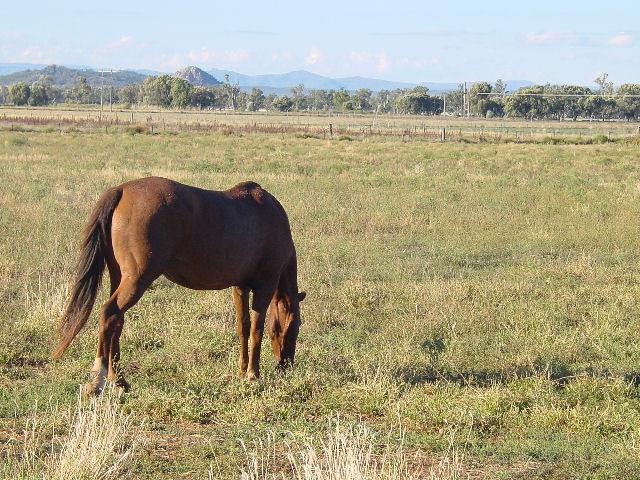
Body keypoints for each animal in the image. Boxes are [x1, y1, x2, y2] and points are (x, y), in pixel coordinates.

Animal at [51, 176, 306, 394]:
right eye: (296, 326)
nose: (285, 365)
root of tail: (121, 190)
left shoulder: (240, 287)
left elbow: (243, 328)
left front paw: (243, 371)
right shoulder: (264, 285)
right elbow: (257, 329)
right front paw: (253, 374)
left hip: (119, 277)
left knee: (117, 321)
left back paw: (120, 380)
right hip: (137, 279)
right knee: (110, 314)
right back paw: (98, 381)